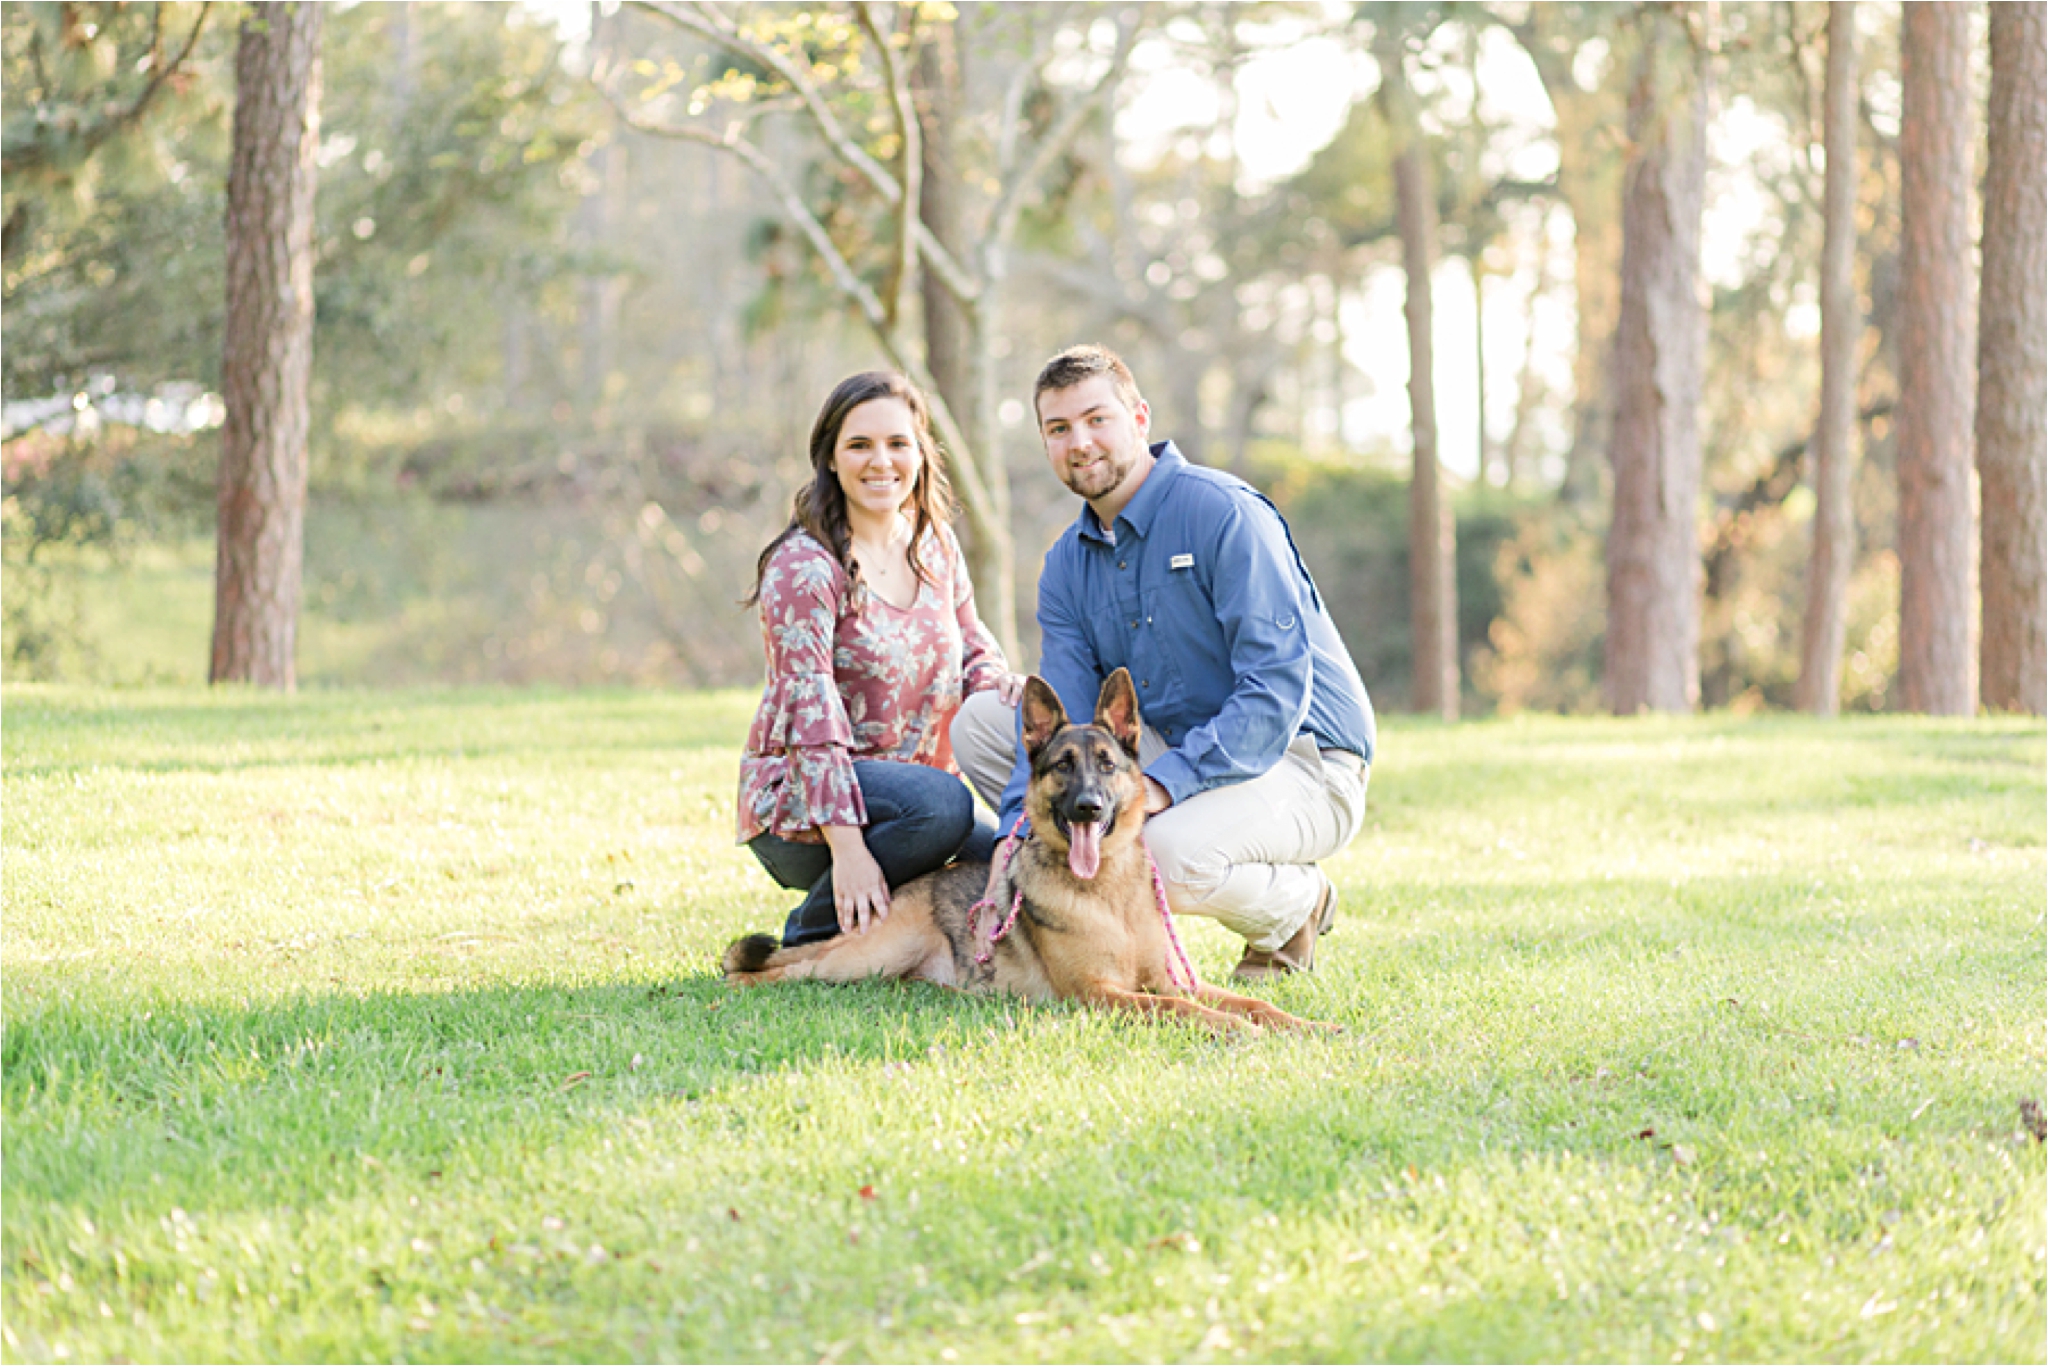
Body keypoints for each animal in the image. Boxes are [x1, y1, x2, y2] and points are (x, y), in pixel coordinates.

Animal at [724, 671, 1327, 1036]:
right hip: (865, 957)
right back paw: (734, 989)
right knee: (784, 970)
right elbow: (1183, 1009)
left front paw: (1307, 1026)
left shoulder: (1170, 978)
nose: (1088, 807)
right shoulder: (1105, 995)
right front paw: (1239, 1031)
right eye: (1063, 765)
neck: (1107, 893)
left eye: (1107, 764)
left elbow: (1254, 1003)